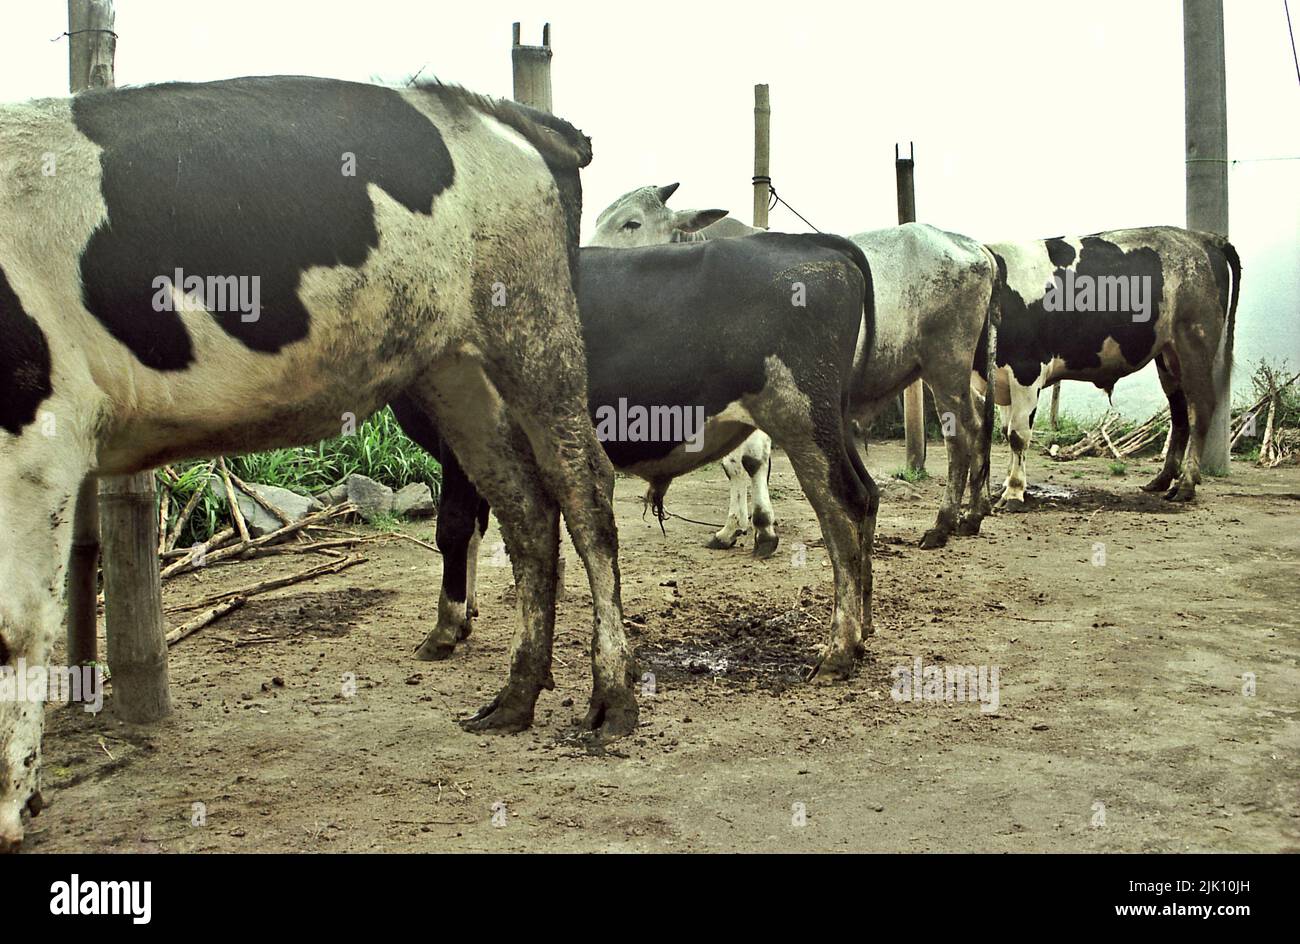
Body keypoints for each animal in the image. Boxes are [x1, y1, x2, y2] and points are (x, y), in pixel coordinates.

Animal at [0, 77, 629, 852]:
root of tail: (495, 108)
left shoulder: (36, 432)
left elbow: (15, 625)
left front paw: (9, 806)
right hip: (451, 365)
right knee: (523, 506)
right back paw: (513, 698)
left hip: (532, 327)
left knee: (582, 489)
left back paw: (612, 696)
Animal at [400, 235, 878, 696]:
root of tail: (814, 242)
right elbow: (479, 530)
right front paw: (465, 618)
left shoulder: (462, 439)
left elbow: (454, 529)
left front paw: (443, 631)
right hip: (831, 420)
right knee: (868, 495)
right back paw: (863, 631)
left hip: (802, 417)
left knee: (842, 511)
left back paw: (838, 651)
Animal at [595, 183, 998, 551]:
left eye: (632, 223)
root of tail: (972, 246)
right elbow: (731, 464)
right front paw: (731, 529)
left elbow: (752, 460)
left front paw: (764, 530)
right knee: (981, 419)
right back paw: (972, 515)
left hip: (946, 364)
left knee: (962, 433)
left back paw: (944, 524)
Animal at [982, 227, 1237, 509]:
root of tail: (1201, 238)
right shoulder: (1003, 380)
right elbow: (1005, 431)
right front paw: (1007, 485)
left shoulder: (1027, 370)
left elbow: (1017, 435)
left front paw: (1014, 492)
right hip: (1168, 357)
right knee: (1179, 414)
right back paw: (1162, 480)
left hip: (1194, 344)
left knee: (1199, 410)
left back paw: (1186, 485)